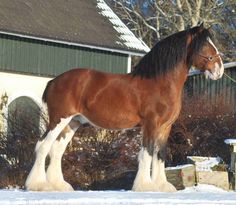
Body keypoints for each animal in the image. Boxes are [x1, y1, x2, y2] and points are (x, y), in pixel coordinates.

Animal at [24, 24, 224, 192]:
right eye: (204, 46)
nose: (219, 70)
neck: (159, 83)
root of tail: (54, 81)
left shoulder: (165, 127)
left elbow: (160, 154)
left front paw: (163, 186)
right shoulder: (150, 124)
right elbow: (147, 153)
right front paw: (145, 186)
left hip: (73, 122)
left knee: (56, 149)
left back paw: (59, 185)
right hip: (59, 119)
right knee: (43, 146)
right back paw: (38, 185)